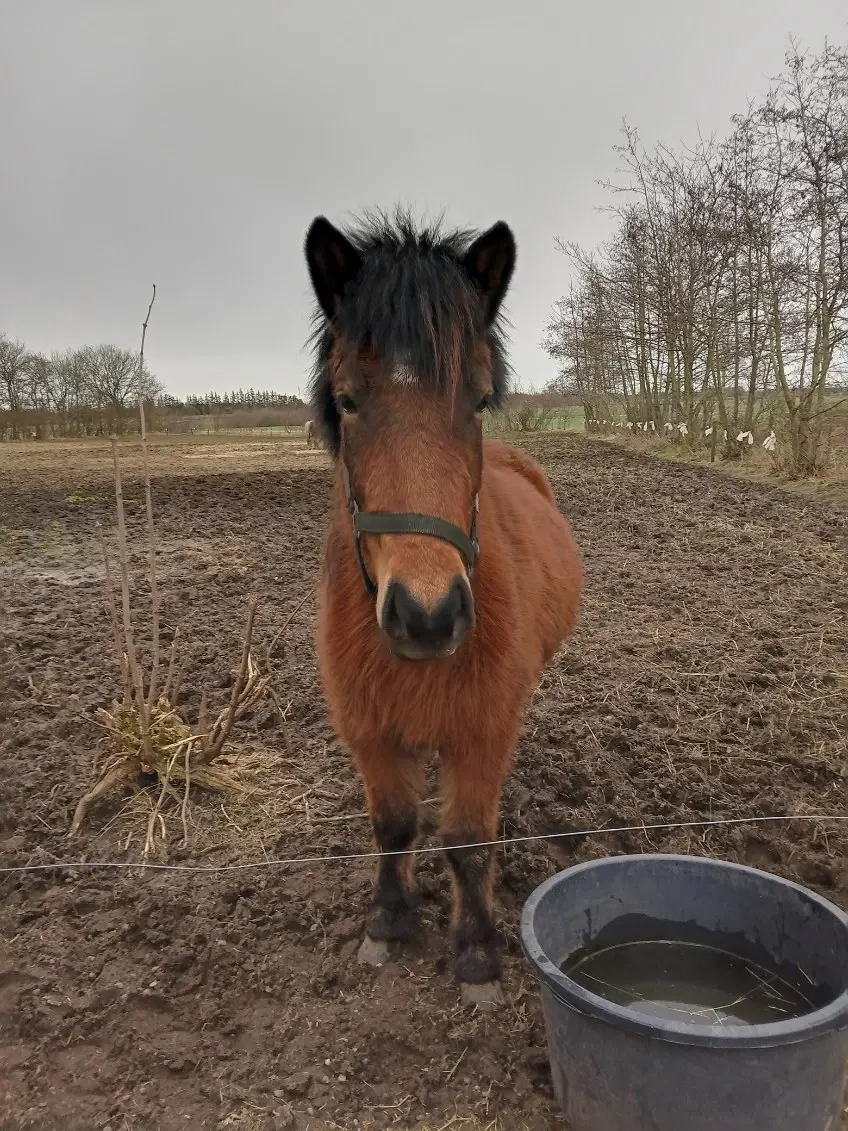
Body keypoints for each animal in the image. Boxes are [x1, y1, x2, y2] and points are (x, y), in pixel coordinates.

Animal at [303, 208, 583, 1004]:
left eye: (478, 399)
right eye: (348, 400)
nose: (427, 616)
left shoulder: (481, 731)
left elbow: (467, 841)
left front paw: (476, 949)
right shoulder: (369, 733)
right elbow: (395, 824)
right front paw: (388, 921)